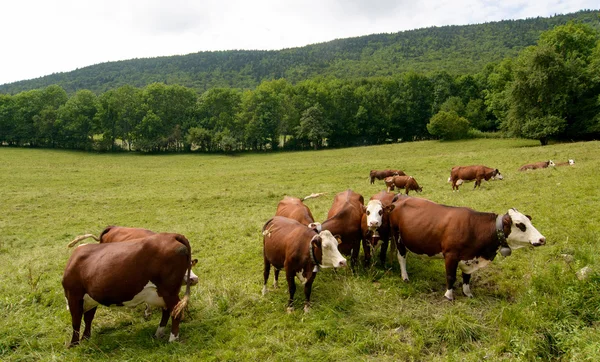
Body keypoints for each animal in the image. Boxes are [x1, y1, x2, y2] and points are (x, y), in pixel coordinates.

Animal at [62, 233, 196, 346]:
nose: (194, 279)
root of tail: (171, 235)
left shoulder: (73, 296)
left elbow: (76, 322)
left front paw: (73, 344)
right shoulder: (90, 299)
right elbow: (88, 319)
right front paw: (86, 338)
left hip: (169, 291)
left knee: (175, 310)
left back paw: (173, 339)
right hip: (162, 293)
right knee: (168, 311)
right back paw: (159, 333)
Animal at [386, 197, 548, 302]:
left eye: (529, 222)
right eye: (521, 225)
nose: (542, 239)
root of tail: (400, 198)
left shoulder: (469, 257)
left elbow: (467, 277)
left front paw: (467, 292)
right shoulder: (450, 255)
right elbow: (451, 276)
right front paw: (448, 295)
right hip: (398, 237)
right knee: (402, 257)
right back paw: (405, 276)